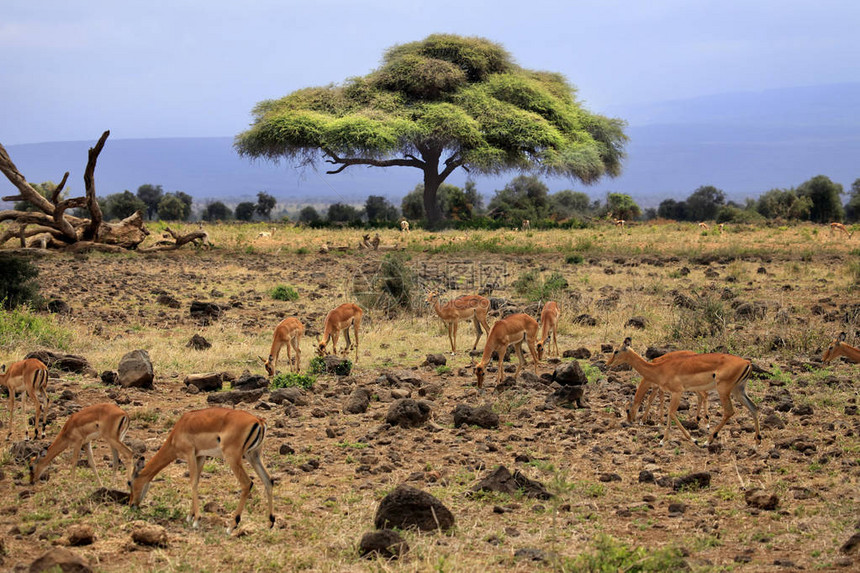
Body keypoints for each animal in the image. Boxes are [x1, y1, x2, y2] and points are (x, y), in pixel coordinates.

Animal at [128, 406, 272, 532]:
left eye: (129, 482)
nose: (131, 504)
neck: (178, 431)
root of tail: (259, 421)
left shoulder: (189, 454)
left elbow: (193, 482)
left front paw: (196, 520)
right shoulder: (201, 456)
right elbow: (196, 480)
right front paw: (190, 516)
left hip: (233, 457)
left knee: (247, 483)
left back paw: (231, 527)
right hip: (254, 456)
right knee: (268, 480)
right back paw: (270, 524)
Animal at [604, 336, 760, 446]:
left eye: (616, 351)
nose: (607, 363)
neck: (659, 368)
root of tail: (747, 363)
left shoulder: (677, 392)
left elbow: (671, 413)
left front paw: (692, 439)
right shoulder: (670, 392)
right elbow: (669, 412)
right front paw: (663, 440)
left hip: (724, 390)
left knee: (729, 411)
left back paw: (707, 440)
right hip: (738, 391)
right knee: (754, 408)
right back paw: (757, 441)